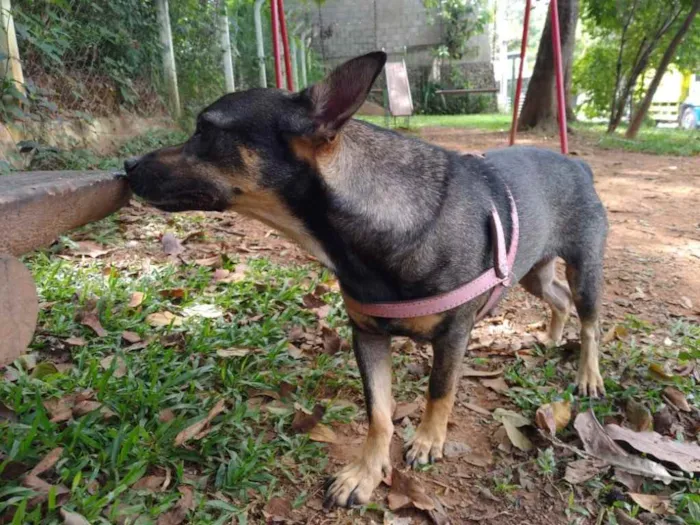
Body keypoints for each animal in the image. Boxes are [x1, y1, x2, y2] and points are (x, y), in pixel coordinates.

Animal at [126, 51, 608, 506]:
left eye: (204, 130)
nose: (127, 164)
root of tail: (580, 167)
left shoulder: (454, 335)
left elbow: (439, 391)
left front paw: (428, 440)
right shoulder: (368, 335)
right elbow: (378, 413)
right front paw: (367, 473)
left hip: (585, 271)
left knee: (588, 323)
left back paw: (588, 376)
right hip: (532, 274)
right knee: (558, 298)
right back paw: (552, 337)